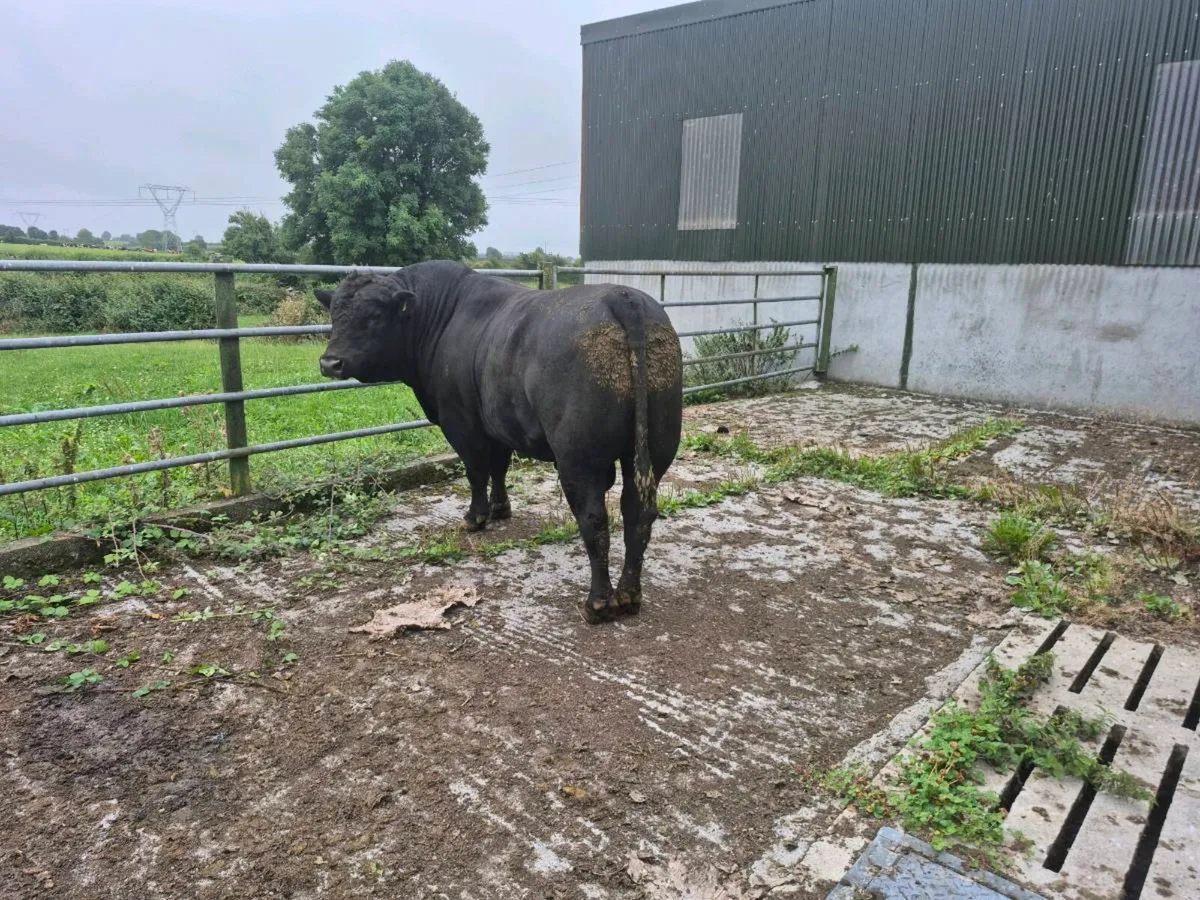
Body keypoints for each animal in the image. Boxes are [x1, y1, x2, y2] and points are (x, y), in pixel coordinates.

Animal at [315, 260, 683, 624]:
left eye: (375, 315)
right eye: (335, 314)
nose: (330, 362)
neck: (439, 318)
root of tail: (622, 296)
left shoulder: (461, 422)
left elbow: (476, 471)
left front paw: (476, 516)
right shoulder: (499, 422)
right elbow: (500, 467)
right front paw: (500, 508)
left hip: (580, 458)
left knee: (594, 519)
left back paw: (598, 603)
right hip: (658, 444)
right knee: (637, 512)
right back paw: (630, 595)